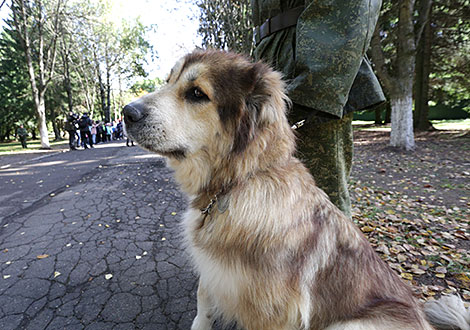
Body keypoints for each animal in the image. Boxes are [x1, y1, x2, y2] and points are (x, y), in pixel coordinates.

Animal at [122, 49, 470, 330]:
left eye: (197, 93)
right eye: (168, 81)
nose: (127, 112)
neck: (239, 182)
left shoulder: (273, 312)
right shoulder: (212, 275)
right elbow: (202, 305)